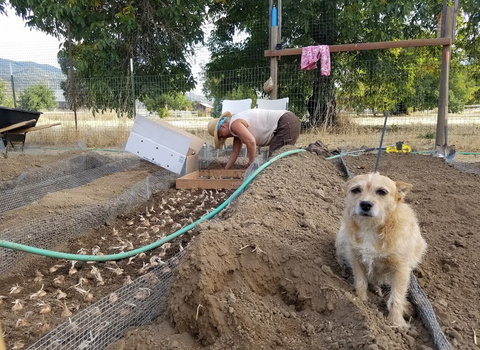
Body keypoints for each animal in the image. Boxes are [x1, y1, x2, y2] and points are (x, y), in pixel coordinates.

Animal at [336, 172, 426, 328]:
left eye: (382, 192)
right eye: (355, 190)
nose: (365, 204)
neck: (371, 228)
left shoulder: (401, 269)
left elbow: (397, 297)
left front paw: (396, 322)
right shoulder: (355, 257)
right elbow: (361, 282)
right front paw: (361, 302)